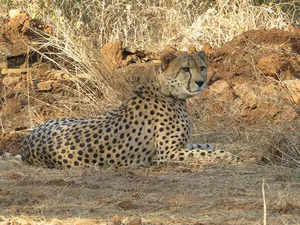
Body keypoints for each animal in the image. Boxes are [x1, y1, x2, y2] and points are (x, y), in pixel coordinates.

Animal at [21, 50, 237, 167]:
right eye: (185, 69)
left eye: (202, 67)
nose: (201, 82)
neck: (168, 92)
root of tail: (27, 142)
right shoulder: (167, 153)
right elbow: (205, 153)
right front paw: (229, 156)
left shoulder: (180, 146)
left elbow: (205, 146)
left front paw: (221, 150)